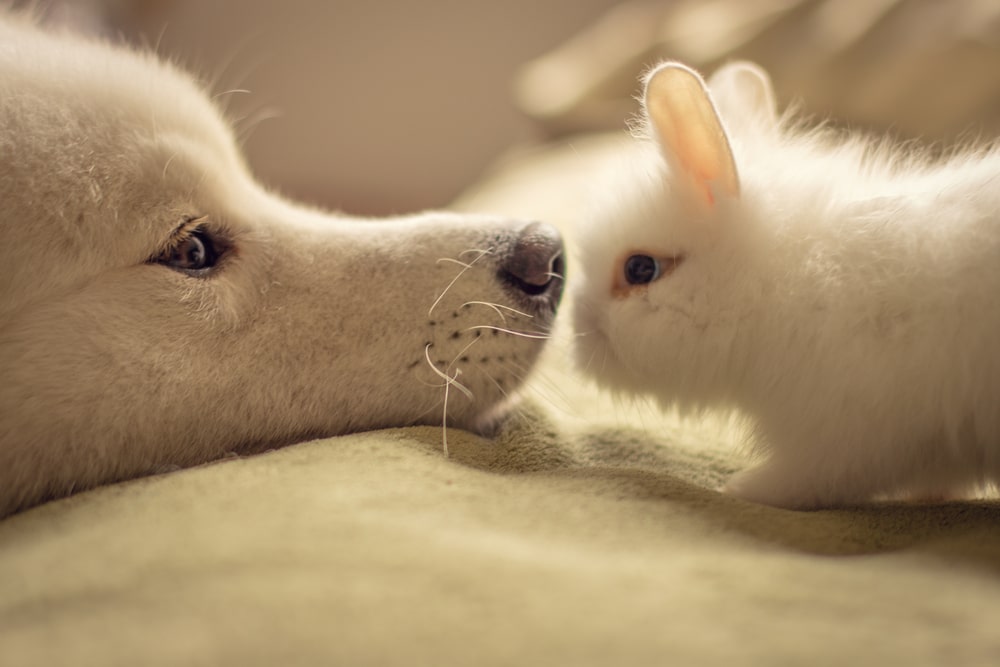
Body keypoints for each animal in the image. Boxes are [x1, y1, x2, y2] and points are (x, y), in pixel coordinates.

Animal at [576, 61, 1000, 512]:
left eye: (639, 269)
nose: (580, 329)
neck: (777, 284)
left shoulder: (850, 430)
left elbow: (816, 480)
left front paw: (741, 488)